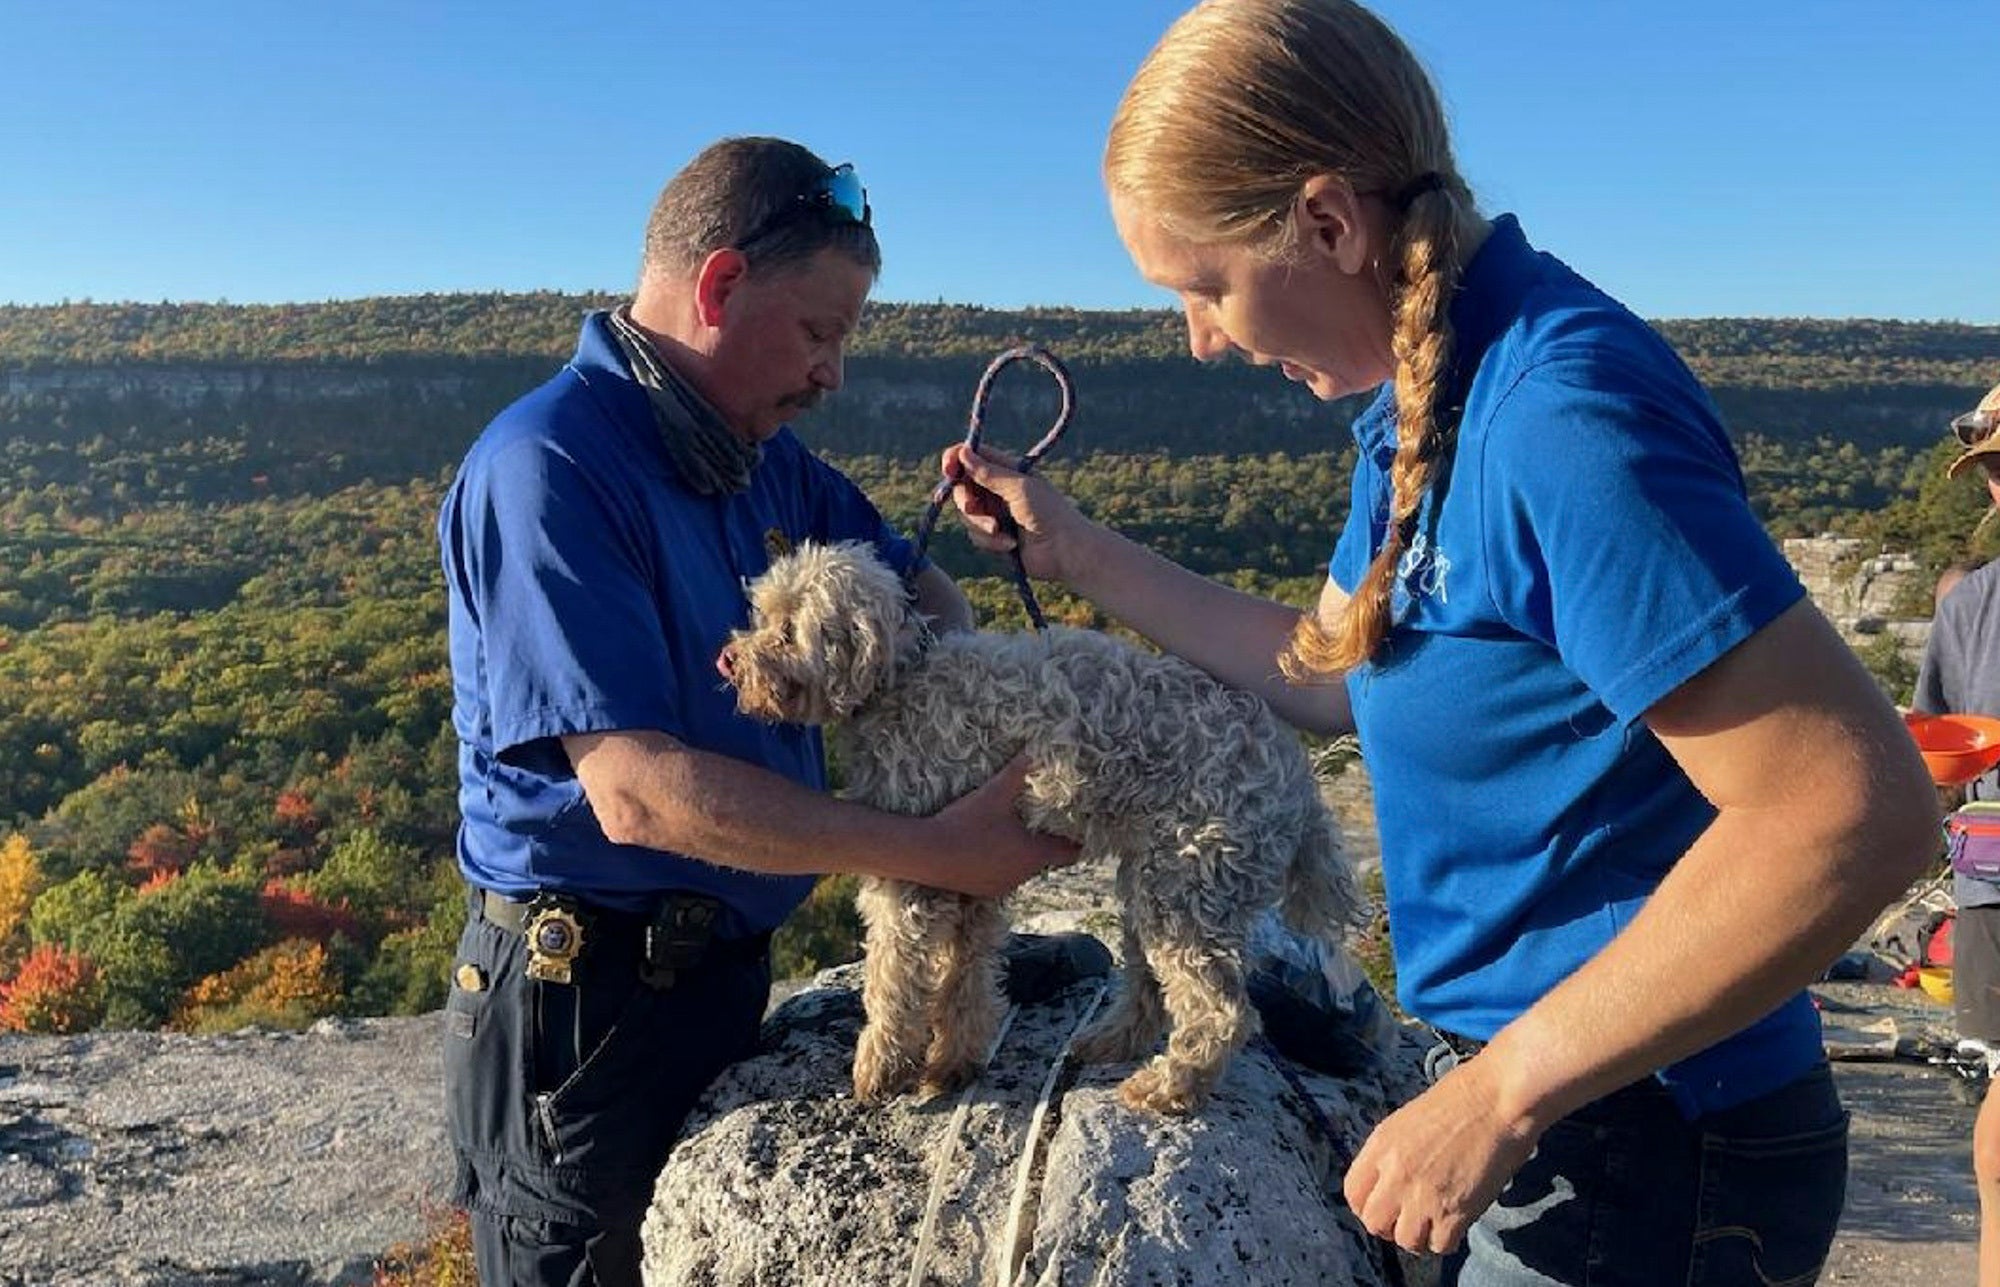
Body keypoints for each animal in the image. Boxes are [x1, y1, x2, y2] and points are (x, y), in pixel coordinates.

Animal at [724, 539, 1360, 1111]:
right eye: (763, 615)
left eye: (788, 630)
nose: (728, 659)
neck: (901, 680)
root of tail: (1299, 784)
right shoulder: (963, 873)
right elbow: (967, 976)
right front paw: (953, 1063)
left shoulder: (911, 879)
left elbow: (894, 978)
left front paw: (880, 1067)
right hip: (1157, 885)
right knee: (1153, 988)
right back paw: (1109, 1044)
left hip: (1189, 888)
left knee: (1221, 1011)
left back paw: (1169, 1088)